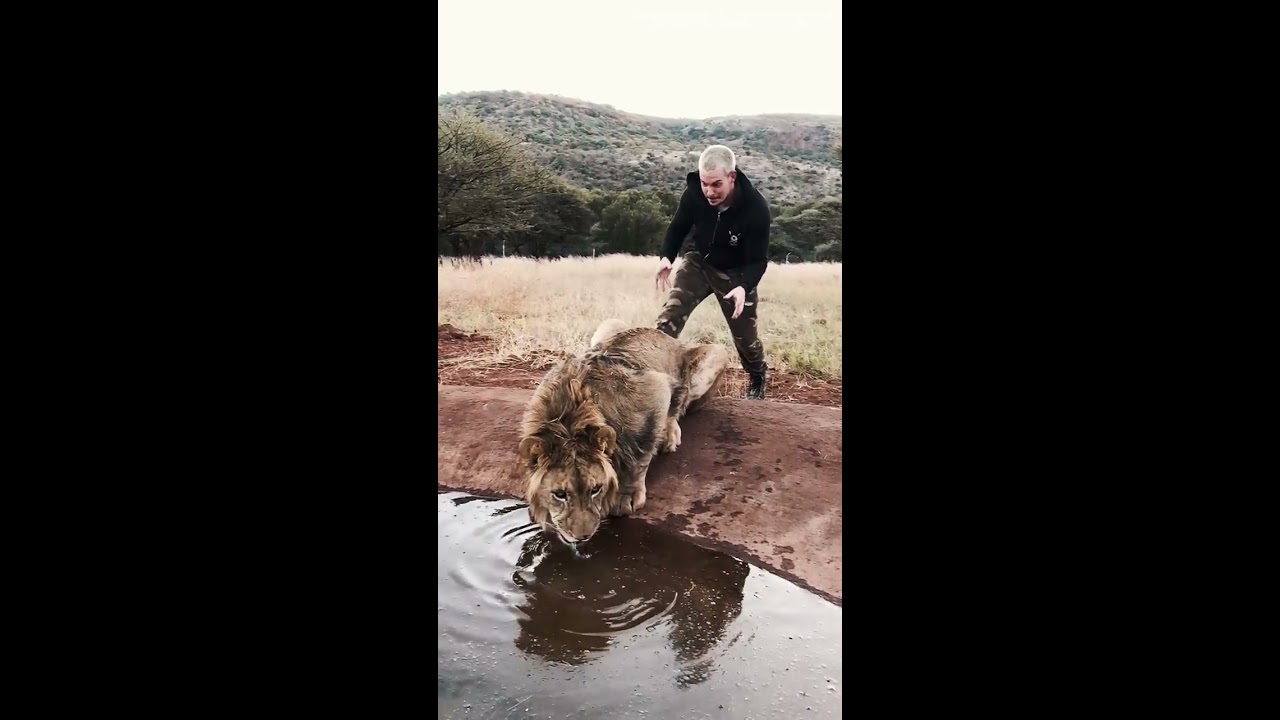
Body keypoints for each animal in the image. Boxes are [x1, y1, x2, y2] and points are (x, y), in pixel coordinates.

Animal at [517, 316, 732, 540]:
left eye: (595, 489)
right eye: (560, 495)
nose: (582, 536)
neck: (568, 421)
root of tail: (669, 338)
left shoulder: (656, 389)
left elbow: (640, 454)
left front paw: (626, 497)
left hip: (718, 352)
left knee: (681, 404)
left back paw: (670, 436)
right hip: (609, 323)